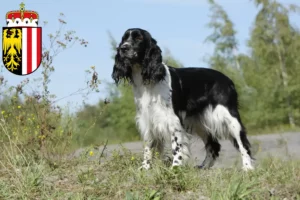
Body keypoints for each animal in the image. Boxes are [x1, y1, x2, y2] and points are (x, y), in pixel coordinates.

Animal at [111, 28, 254, 171]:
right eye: (124, 39)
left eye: (139, 38)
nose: (123, 48)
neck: (148, 81)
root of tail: (228, 81)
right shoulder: (147, 119)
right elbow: (148, 147)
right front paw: (145, 167)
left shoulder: (173, 119)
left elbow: (177, 146)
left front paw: (175, 167)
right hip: (200, 122)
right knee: (213, 145)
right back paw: (203, 167)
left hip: (230, 118)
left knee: (243, 143)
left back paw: (247, 167)